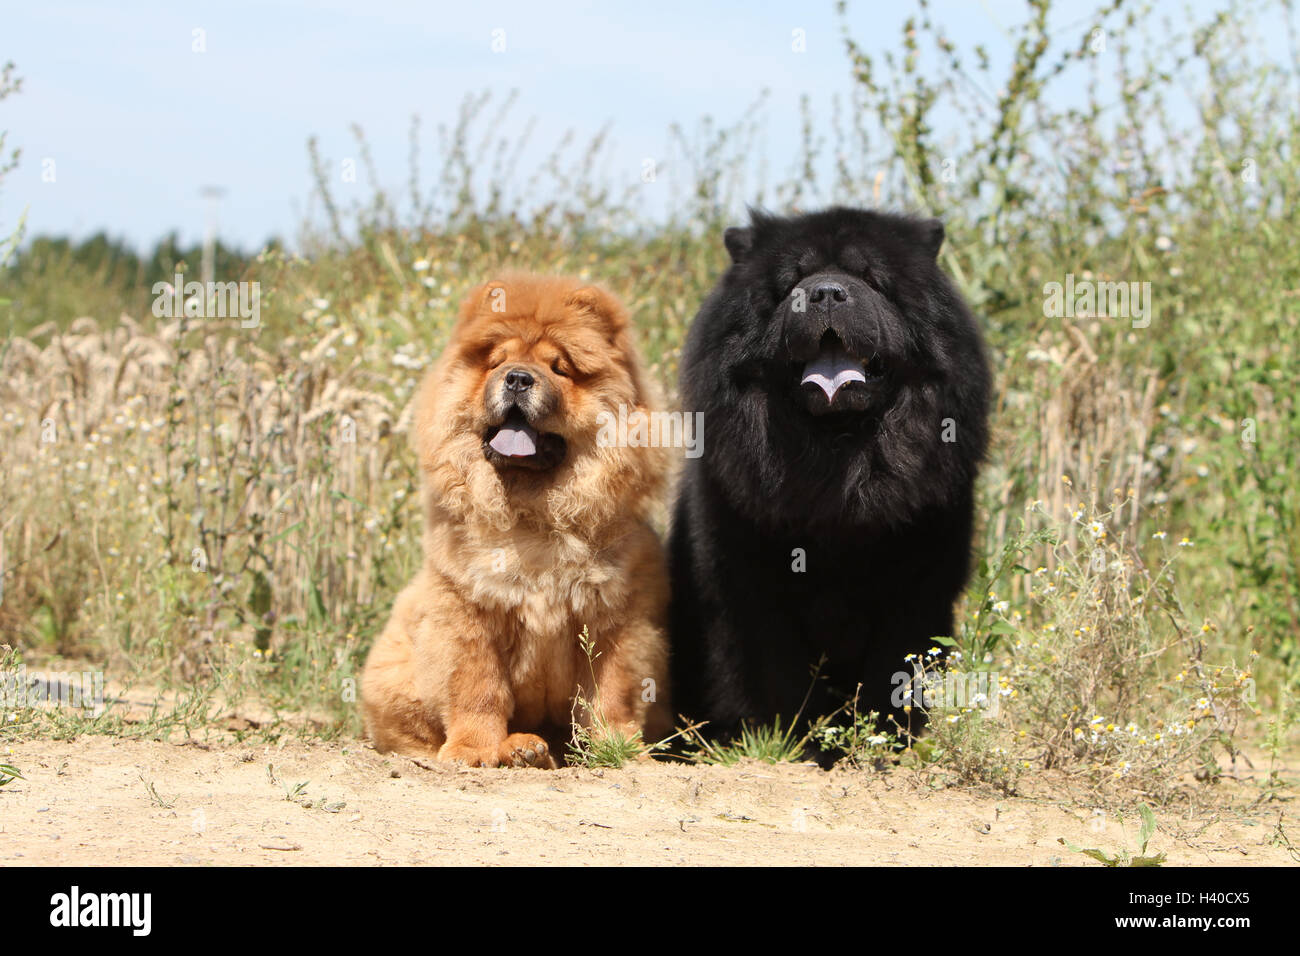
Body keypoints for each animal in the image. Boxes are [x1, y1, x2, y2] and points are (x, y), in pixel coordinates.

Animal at [670, 208, 982, 749]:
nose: (827, 293)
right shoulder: (749, 583)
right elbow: (773, 670)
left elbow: (894, 668)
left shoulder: (917, 584)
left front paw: (885, 739)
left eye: (871, 279)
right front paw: (790, 738)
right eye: (792, 283)